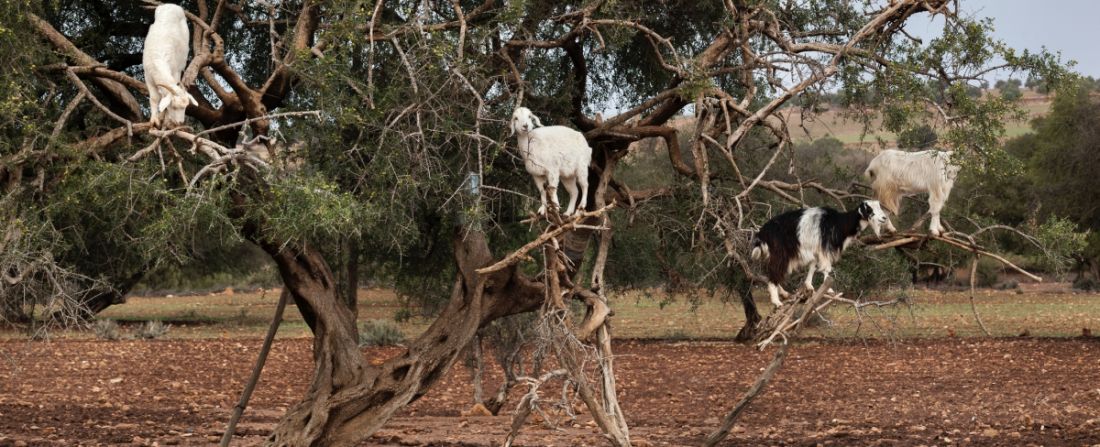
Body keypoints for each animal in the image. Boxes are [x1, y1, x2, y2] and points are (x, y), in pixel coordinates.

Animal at [752, 201, 888, 308]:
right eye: (869, 209)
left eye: (879, 206)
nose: (884, 218)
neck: (838, 223)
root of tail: (762, 233)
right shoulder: (824, 248)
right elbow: (826, 268)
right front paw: (830, 289)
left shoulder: (816, 249)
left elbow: (813, 266)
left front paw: (809, 286)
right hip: (780, 253)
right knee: (774, 272)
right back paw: (776, 301)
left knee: (772, 272)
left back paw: (784, 293)